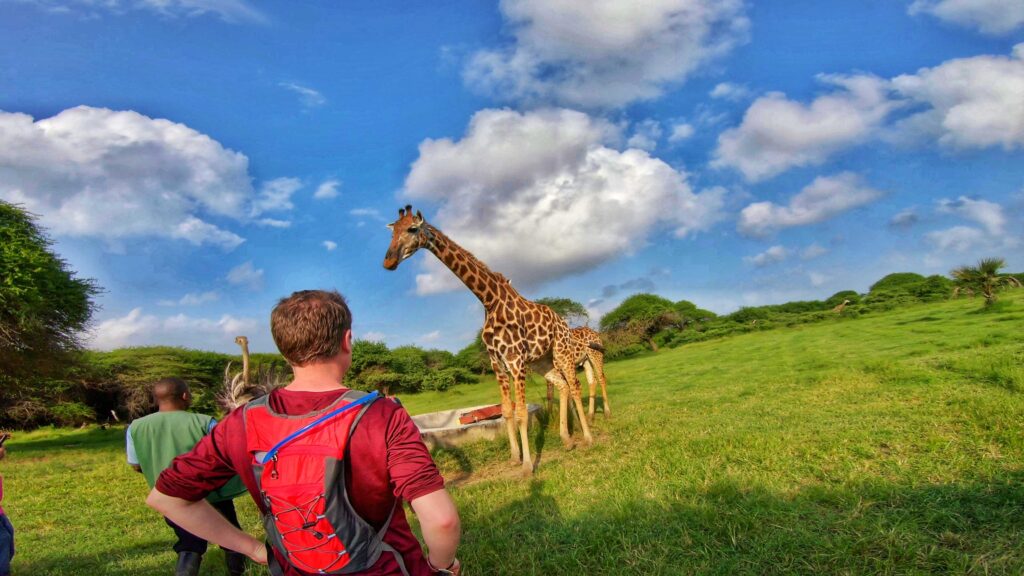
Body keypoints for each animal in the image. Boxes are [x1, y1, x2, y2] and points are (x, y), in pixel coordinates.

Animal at [382, 204, 593, 471]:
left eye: (412, 229)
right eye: (392, 232)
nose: (388, 261)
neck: (489, 300)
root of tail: (562, 321)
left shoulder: (514, 359)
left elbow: (521, 412)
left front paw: (527, 467)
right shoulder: (497, 362)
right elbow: (506, 411)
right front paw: (514, 458)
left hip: (561, 351)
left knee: (575, 386)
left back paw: (588, 438)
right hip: (541, 361)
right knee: (563, 385)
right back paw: (567, 439)